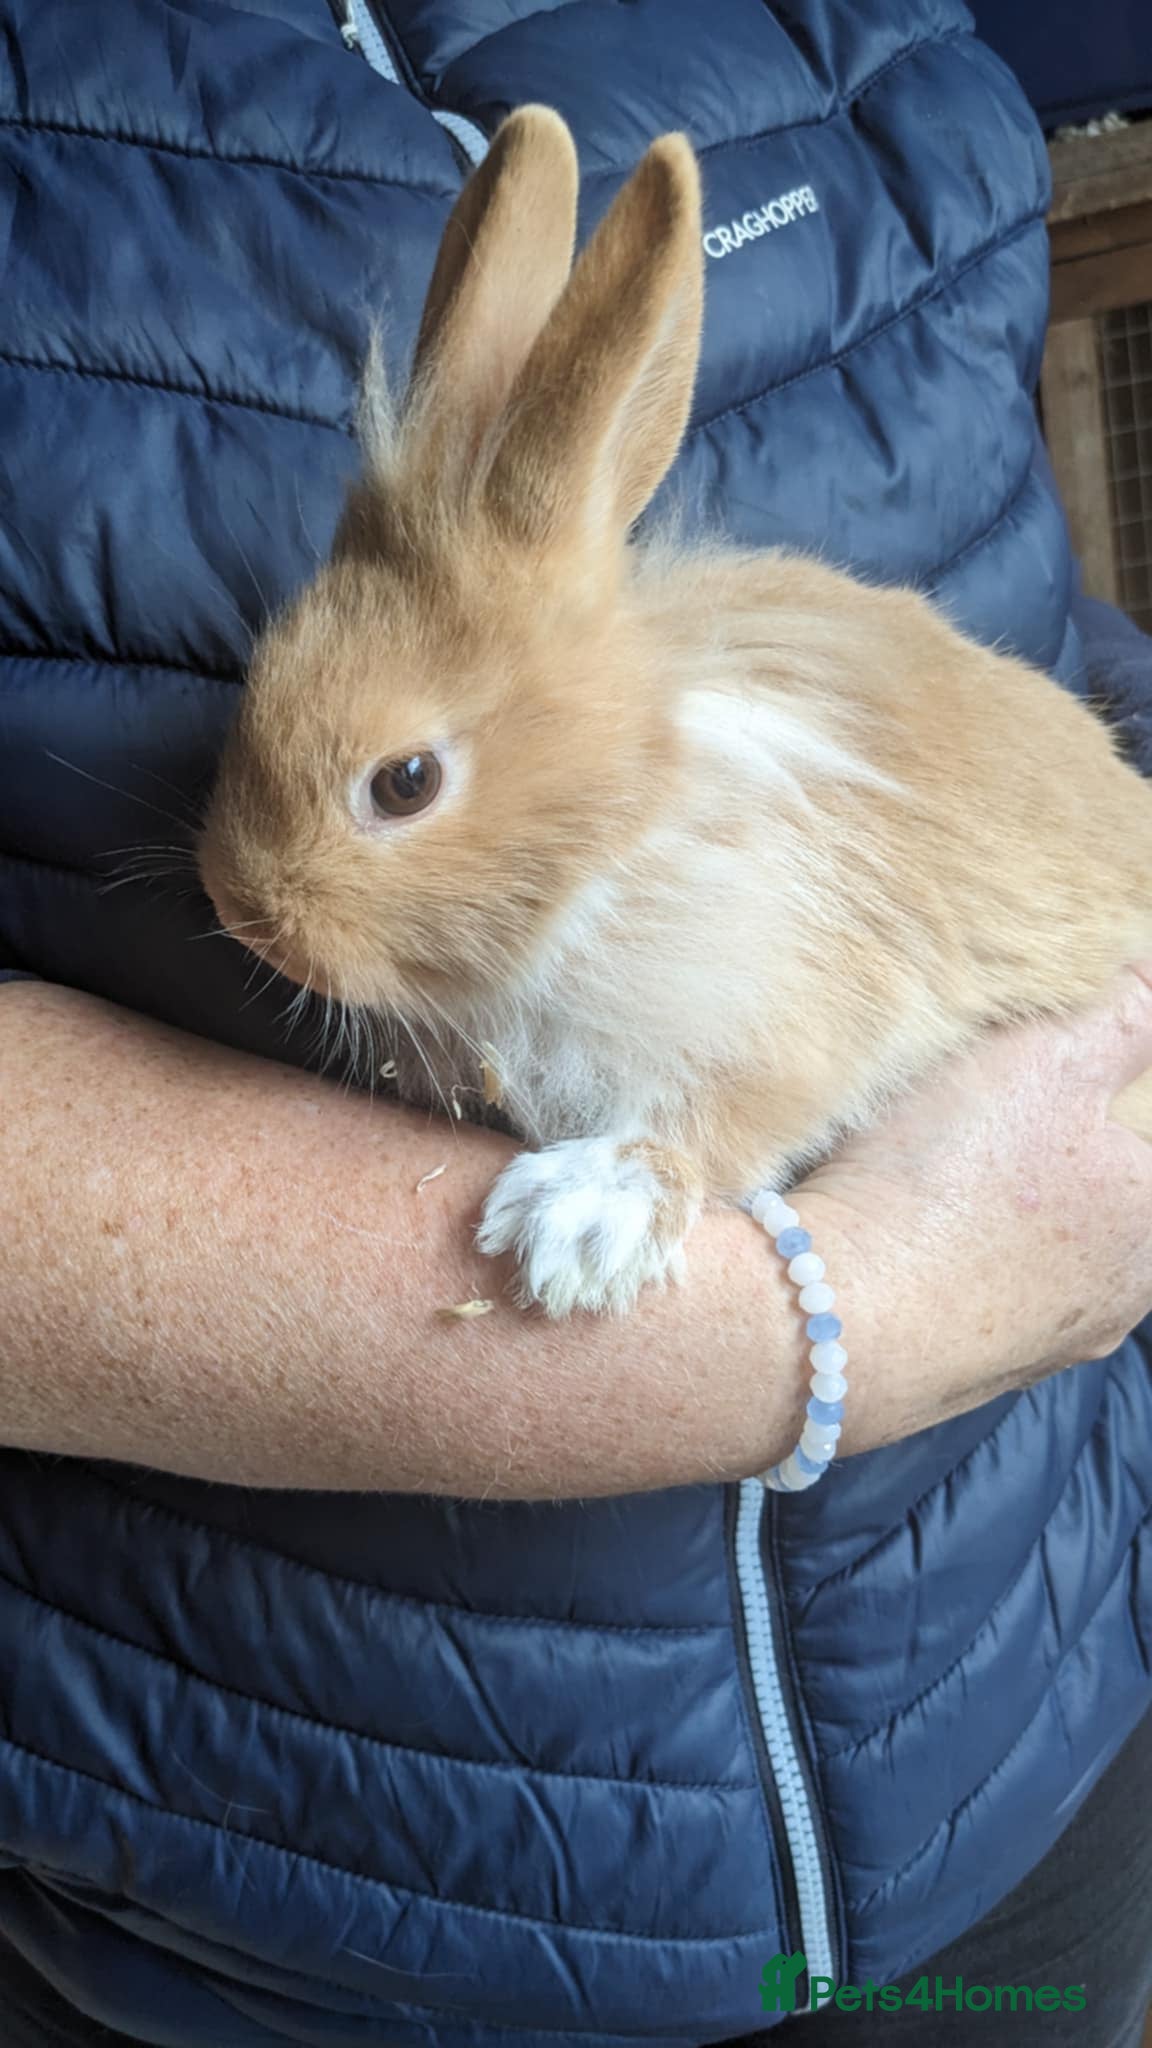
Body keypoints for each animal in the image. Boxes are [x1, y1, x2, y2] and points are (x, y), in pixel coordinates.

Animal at [197, 105, 1152, 1318]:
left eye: (405, 783)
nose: (239, 908)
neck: (619, 819)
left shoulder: (792, 1010)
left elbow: (714, 1124)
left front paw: (578, 1225)